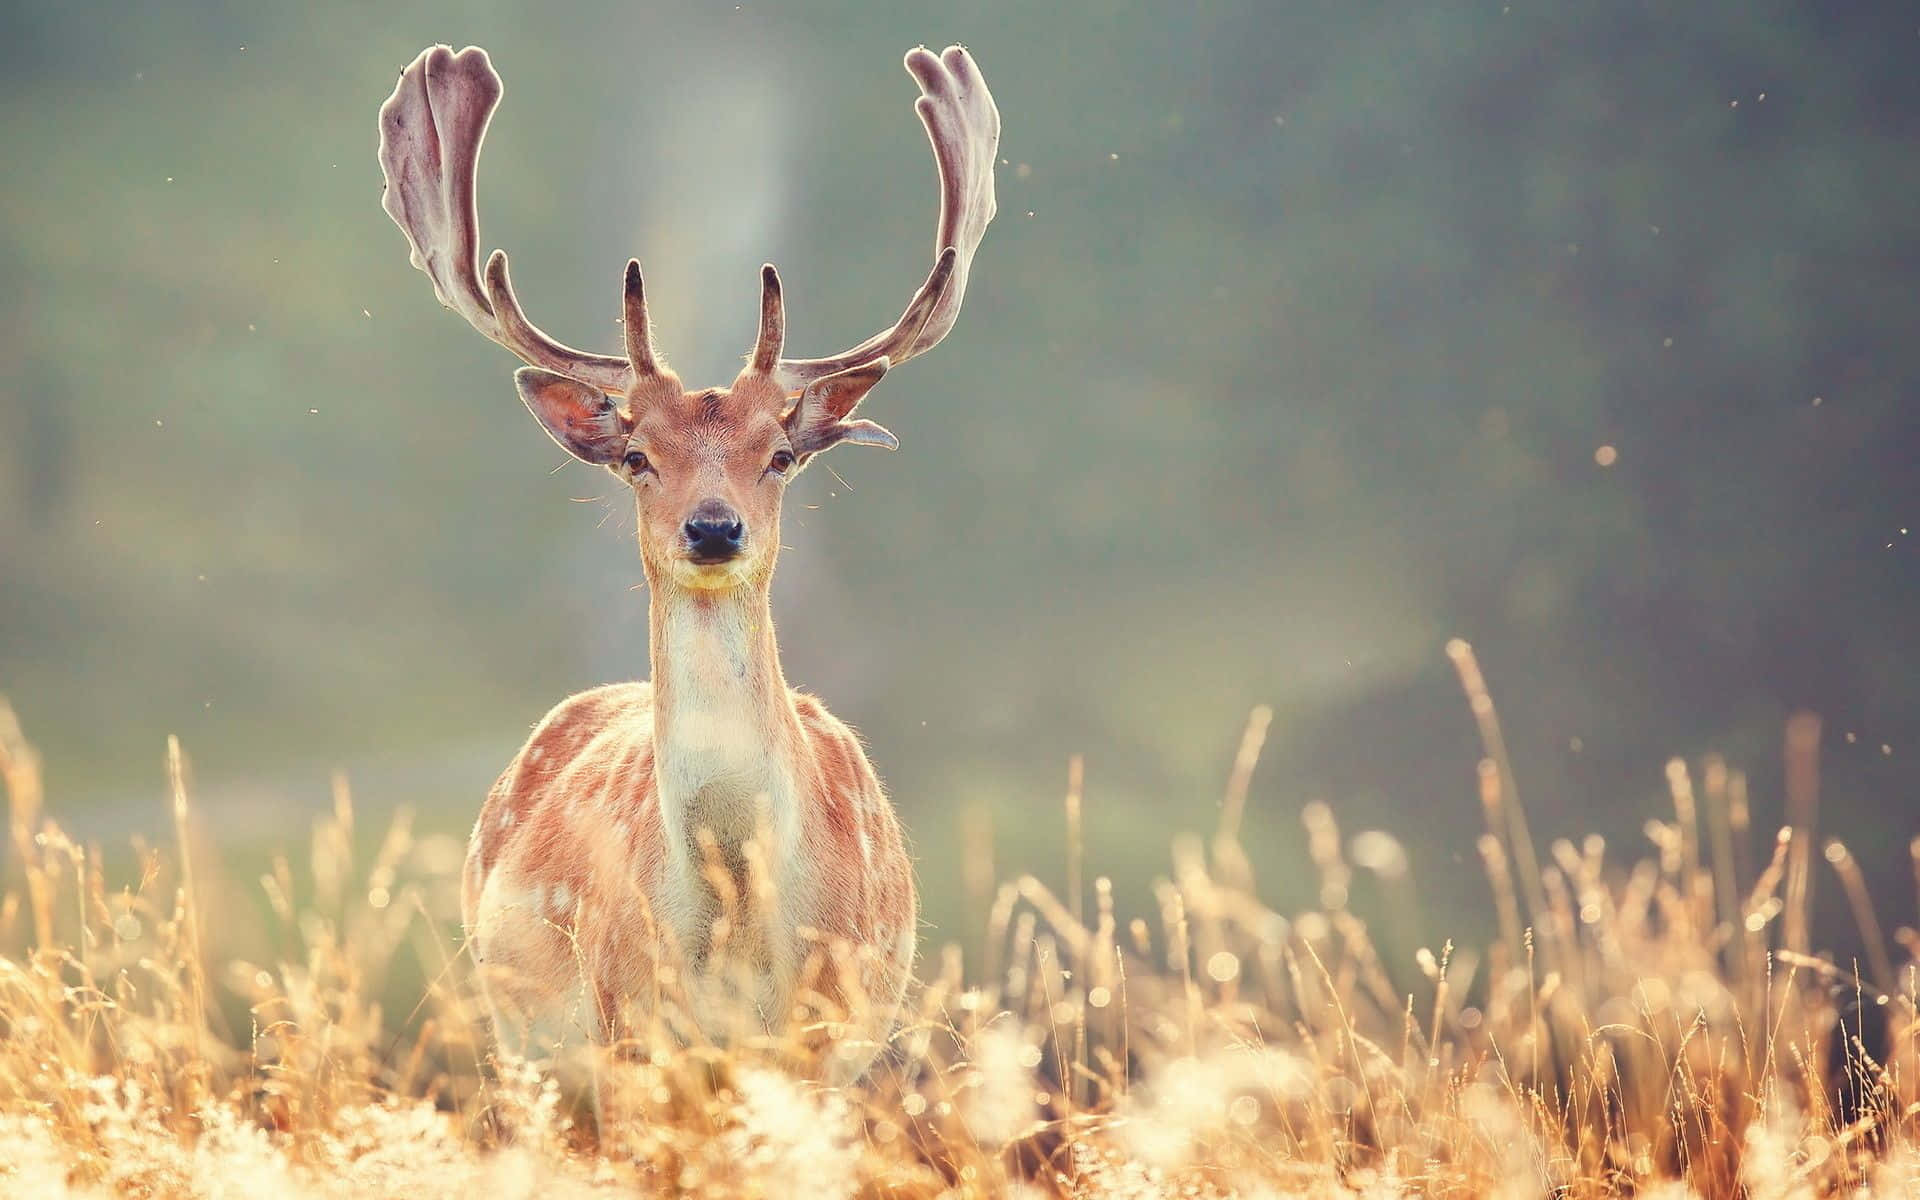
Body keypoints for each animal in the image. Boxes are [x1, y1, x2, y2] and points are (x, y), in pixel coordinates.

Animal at [376, 43, 998, 1086]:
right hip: (523, 1044)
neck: (737, 913)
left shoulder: (830, 1040)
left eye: (779, 455)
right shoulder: (632, 1026)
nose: (713, 529)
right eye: (637, 455)